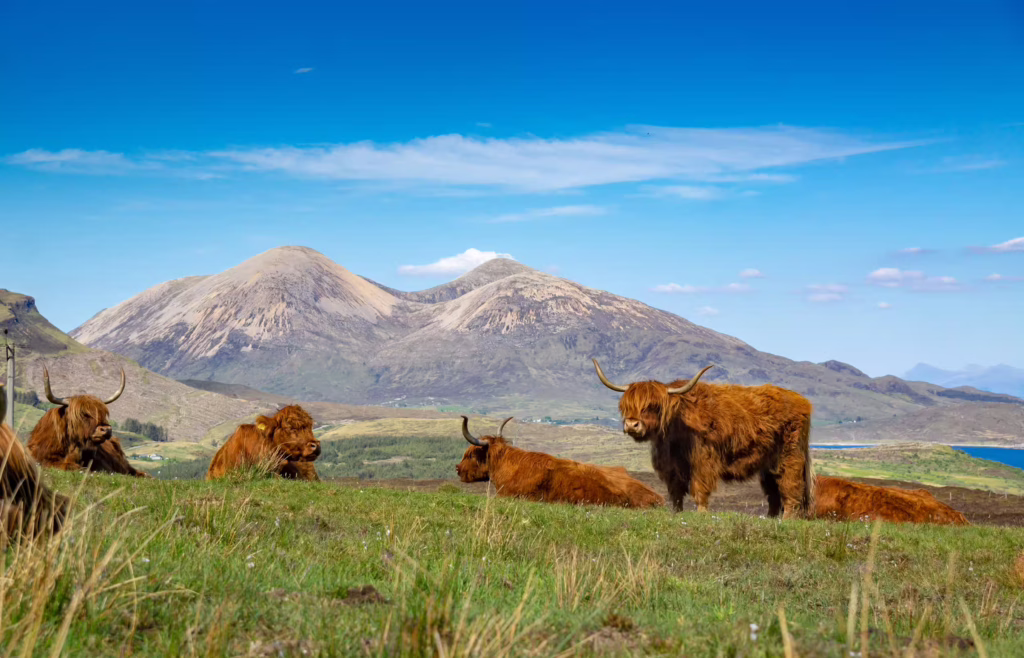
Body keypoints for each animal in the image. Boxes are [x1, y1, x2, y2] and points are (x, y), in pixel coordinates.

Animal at [593, 358, 815, 519]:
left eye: (653, 406)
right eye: (626, 406)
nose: (632, 425)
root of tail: (802, 401)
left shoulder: (703, 462)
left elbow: (699, 489)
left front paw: (701, 513)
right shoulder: (671, 467)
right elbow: (675, 492)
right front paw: (676, 513)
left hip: (790, 456)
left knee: (791, 486)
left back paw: (787, 519)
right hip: (767, 464)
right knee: (773, 491)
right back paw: (770, 518)